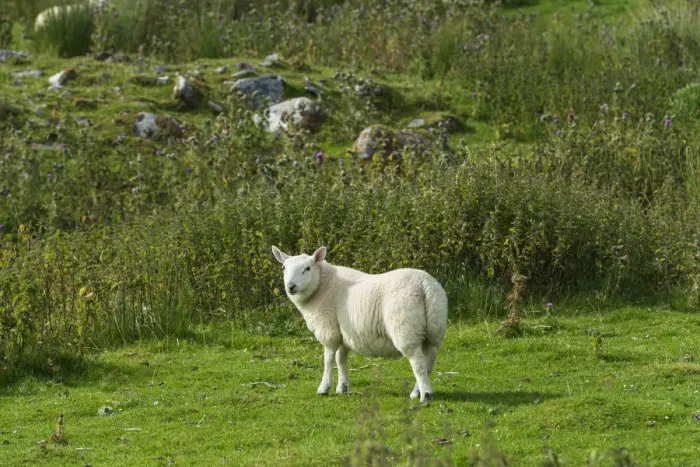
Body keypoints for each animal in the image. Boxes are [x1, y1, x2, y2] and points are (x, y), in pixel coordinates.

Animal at [271, 245, 448, 404]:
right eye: (284, 268)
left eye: (307, 268)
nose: (291, 286)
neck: (321, 286)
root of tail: (424, 284)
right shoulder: (343, 333)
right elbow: (341, 359)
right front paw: (342, 387)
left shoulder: (328, 330)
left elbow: (328, 359)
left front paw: (324, 388)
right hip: (434, 328)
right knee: (429, 361)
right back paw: (416, 392)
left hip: (406, 328)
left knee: (418, 364)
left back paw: (425, 395)